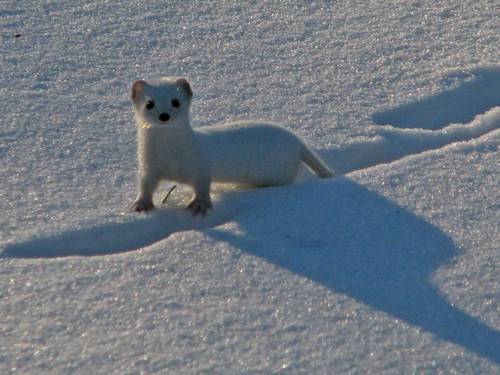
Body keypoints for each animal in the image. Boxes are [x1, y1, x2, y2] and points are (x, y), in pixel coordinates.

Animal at [131, 78, 334, 216]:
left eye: (176, 101)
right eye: (149, 103)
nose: (164, 116)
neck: (169, 155)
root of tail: (298, 141)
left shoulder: (199, 164)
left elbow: (203, 185)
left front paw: (200, 205)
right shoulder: (149, 166)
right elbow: (146, 184)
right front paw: (140, 204)